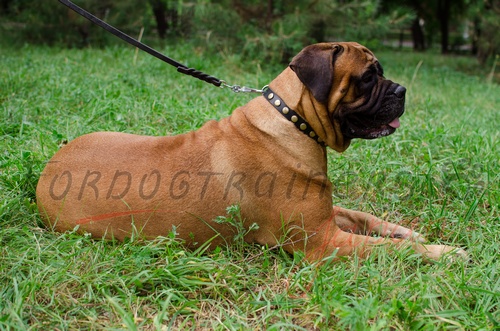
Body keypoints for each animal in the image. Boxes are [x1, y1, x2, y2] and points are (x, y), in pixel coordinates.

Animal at [37, 42, 466, 262]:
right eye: (367, 77)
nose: (402, 90)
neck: (294, 120)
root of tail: (47, 169)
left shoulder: (328, 217)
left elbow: (367, 218)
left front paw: (408, 231)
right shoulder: (324, 241)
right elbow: (392, 250)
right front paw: (443, 252)